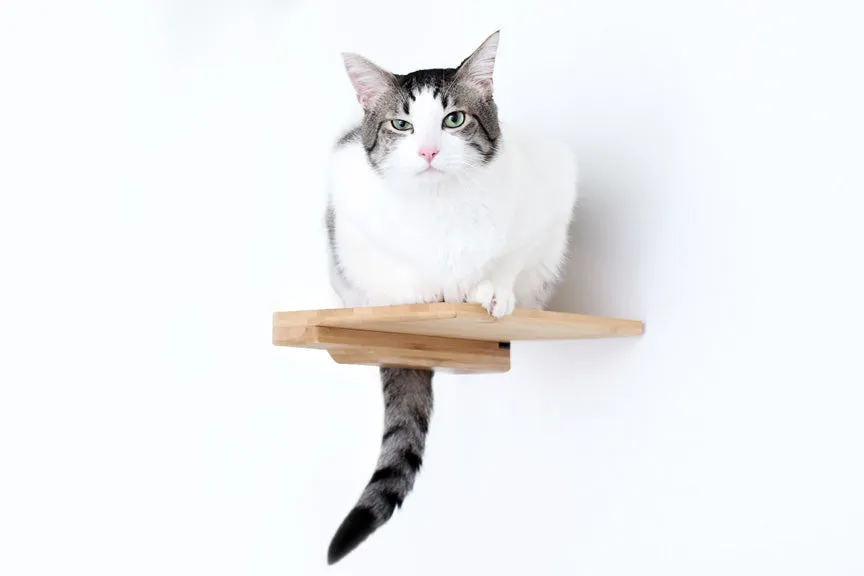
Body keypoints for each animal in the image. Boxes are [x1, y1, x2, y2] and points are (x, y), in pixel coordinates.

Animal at [320, 30, 576, 564]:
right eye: (401, 124)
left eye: (453, 119)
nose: (428, 153)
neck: (441, 206)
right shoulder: (348, 207)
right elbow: (390, 263)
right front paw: (416, 290)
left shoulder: (550, 194)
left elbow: (509, 258)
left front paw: (492, 289)